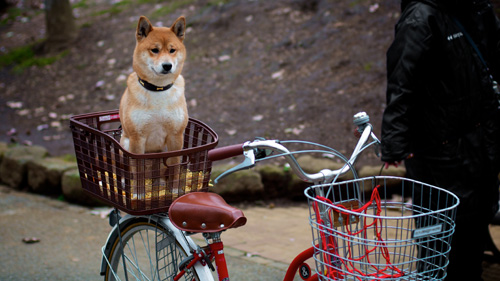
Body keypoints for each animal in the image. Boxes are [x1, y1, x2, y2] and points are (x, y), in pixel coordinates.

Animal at [120, 15, 188, 187]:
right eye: (155, 50)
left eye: (172, 50)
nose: (167, 65)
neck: (158, 89)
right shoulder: (137, 139)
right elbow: (138, 172)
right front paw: (138, 192)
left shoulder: (176, 136)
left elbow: (175, 167)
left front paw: (175, 189)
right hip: (125, 143)